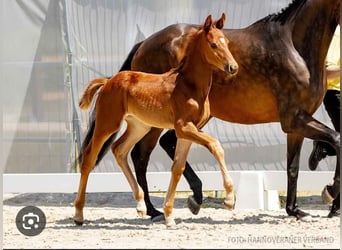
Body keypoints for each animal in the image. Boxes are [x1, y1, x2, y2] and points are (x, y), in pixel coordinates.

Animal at [73, 14, 239, 228]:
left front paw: (169, 215)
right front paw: (229, 200)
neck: (188, 85)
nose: (233, 67)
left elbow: (177, 168)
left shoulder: (187, 131)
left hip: (139, 126)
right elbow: (215, 146)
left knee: (120, 149)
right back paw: (78, 214)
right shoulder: (183, 127)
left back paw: (141, 206)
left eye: (226, 42)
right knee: (88, 158)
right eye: (213, 45)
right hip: (107, 123)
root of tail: (108, 80)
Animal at [87, 0, 340, 220]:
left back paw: (187, 200)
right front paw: (330, 194)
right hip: (156, 119)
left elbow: (293, 167)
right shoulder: (294, 119)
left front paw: (295, 209)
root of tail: (143, 44)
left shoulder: (296, 124)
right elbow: (337, 139)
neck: (295, 48)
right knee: (141, 155)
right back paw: (153, 209)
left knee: (161, 146)